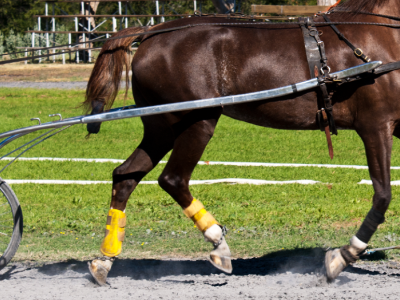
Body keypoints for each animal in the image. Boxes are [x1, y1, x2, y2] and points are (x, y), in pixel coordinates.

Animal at [84, 0, 400, 286]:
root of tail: (152, 31)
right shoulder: (375, 126)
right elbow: (383, 195)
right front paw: (343, 256)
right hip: (197, 121)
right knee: (172, 179)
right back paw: (217, 242)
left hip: (160, 129)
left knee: (125, 175)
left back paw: (104, 260)